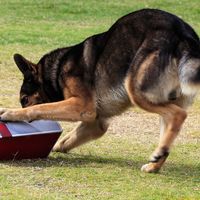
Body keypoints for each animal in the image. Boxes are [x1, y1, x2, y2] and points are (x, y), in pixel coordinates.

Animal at [0, 9, 200, 172]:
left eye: (24, 100)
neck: (56, 71)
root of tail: (184, 34)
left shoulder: (82, 106)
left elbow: (40, 108)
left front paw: (10, 113)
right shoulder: (96, 123)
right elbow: (66, 140)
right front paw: (55, 147)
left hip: (136, 89)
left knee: (178, 114)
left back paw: (159, 154)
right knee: (171, 122)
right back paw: (155, 162)